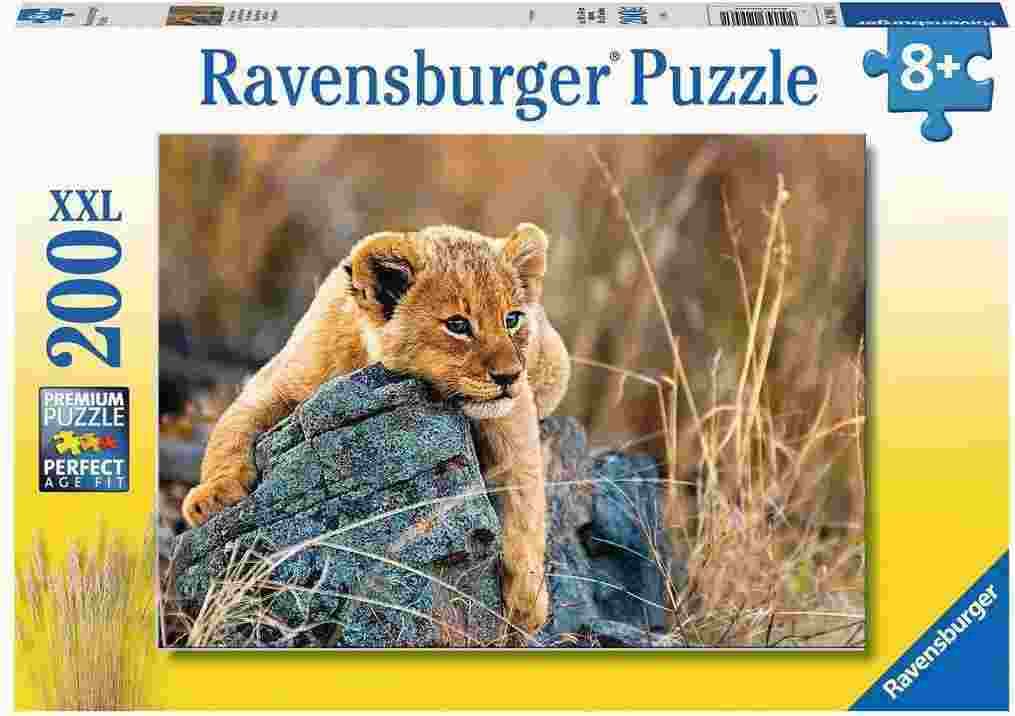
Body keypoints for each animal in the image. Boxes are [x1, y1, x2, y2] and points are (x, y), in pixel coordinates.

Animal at [182, 223, 570, 634]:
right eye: (458, 325)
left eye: (512, 319)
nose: (509, 376)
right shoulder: (276, 381)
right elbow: (230, 428)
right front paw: (212, 496)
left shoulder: (513, 414)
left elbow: (525, 496)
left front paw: (527, 601)